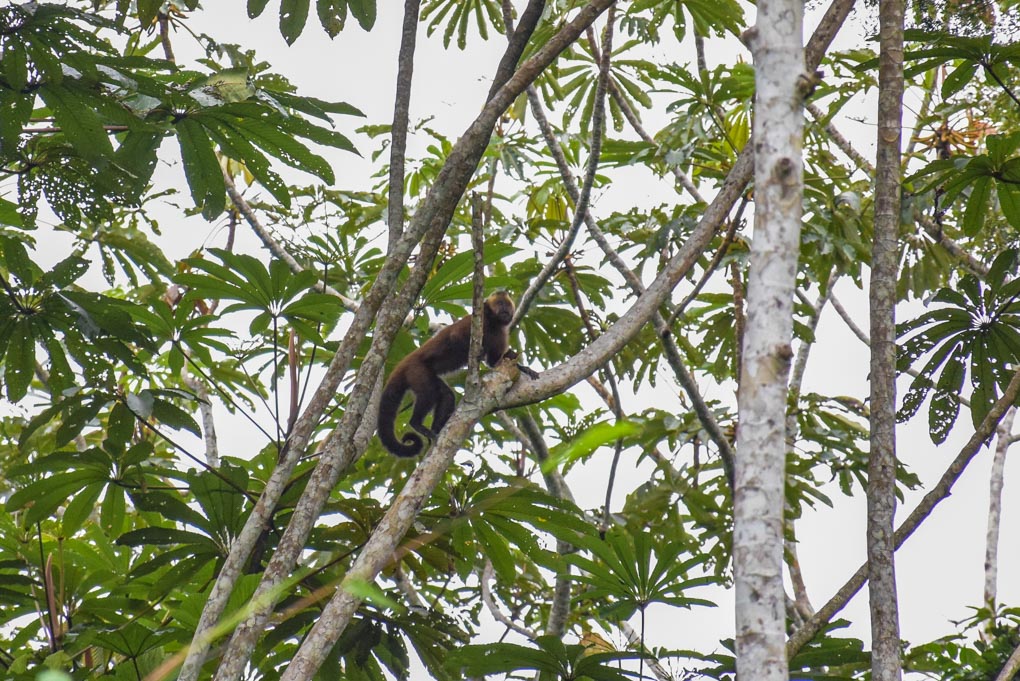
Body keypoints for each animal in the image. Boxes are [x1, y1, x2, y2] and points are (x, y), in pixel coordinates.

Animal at [377, 291, 516, 457]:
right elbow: (455, 336)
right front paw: (479, 353)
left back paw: (437, 430)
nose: (505, 310)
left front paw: (515, 359)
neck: (493, 323)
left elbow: (494, 363)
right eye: (500, 304)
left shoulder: (501, 333)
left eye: (507, 305)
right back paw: (416, 424)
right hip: (416, 370)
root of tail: (404, 363)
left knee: (446, 394)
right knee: (429, 393)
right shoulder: (477, 320)